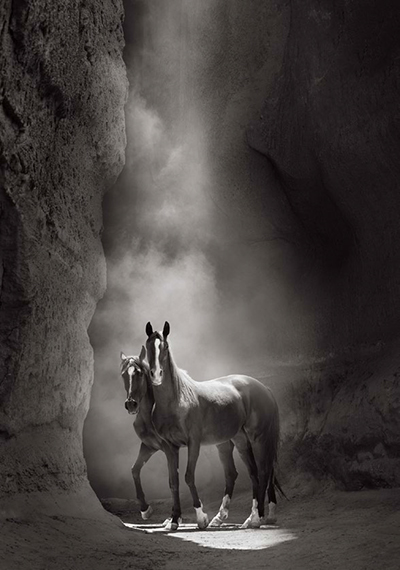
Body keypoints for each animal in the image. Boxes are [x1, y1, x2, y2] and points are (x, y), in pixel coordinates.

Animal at [145, 320, 280, 528]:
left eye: (165, 347)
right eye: (148, 346)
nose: (156, 375)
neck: (177, 400)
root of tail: (264, 388)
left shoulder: (194, 443)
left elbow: (188, 476)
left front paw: (201, 517)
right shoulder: (170, 448)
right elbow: (173, 482)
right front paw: (174, 520)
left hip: (259, 439)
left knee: (264, 471)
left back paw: (257, 518)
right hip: (239, 441)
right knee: (249, 474)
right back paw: (244, 517)